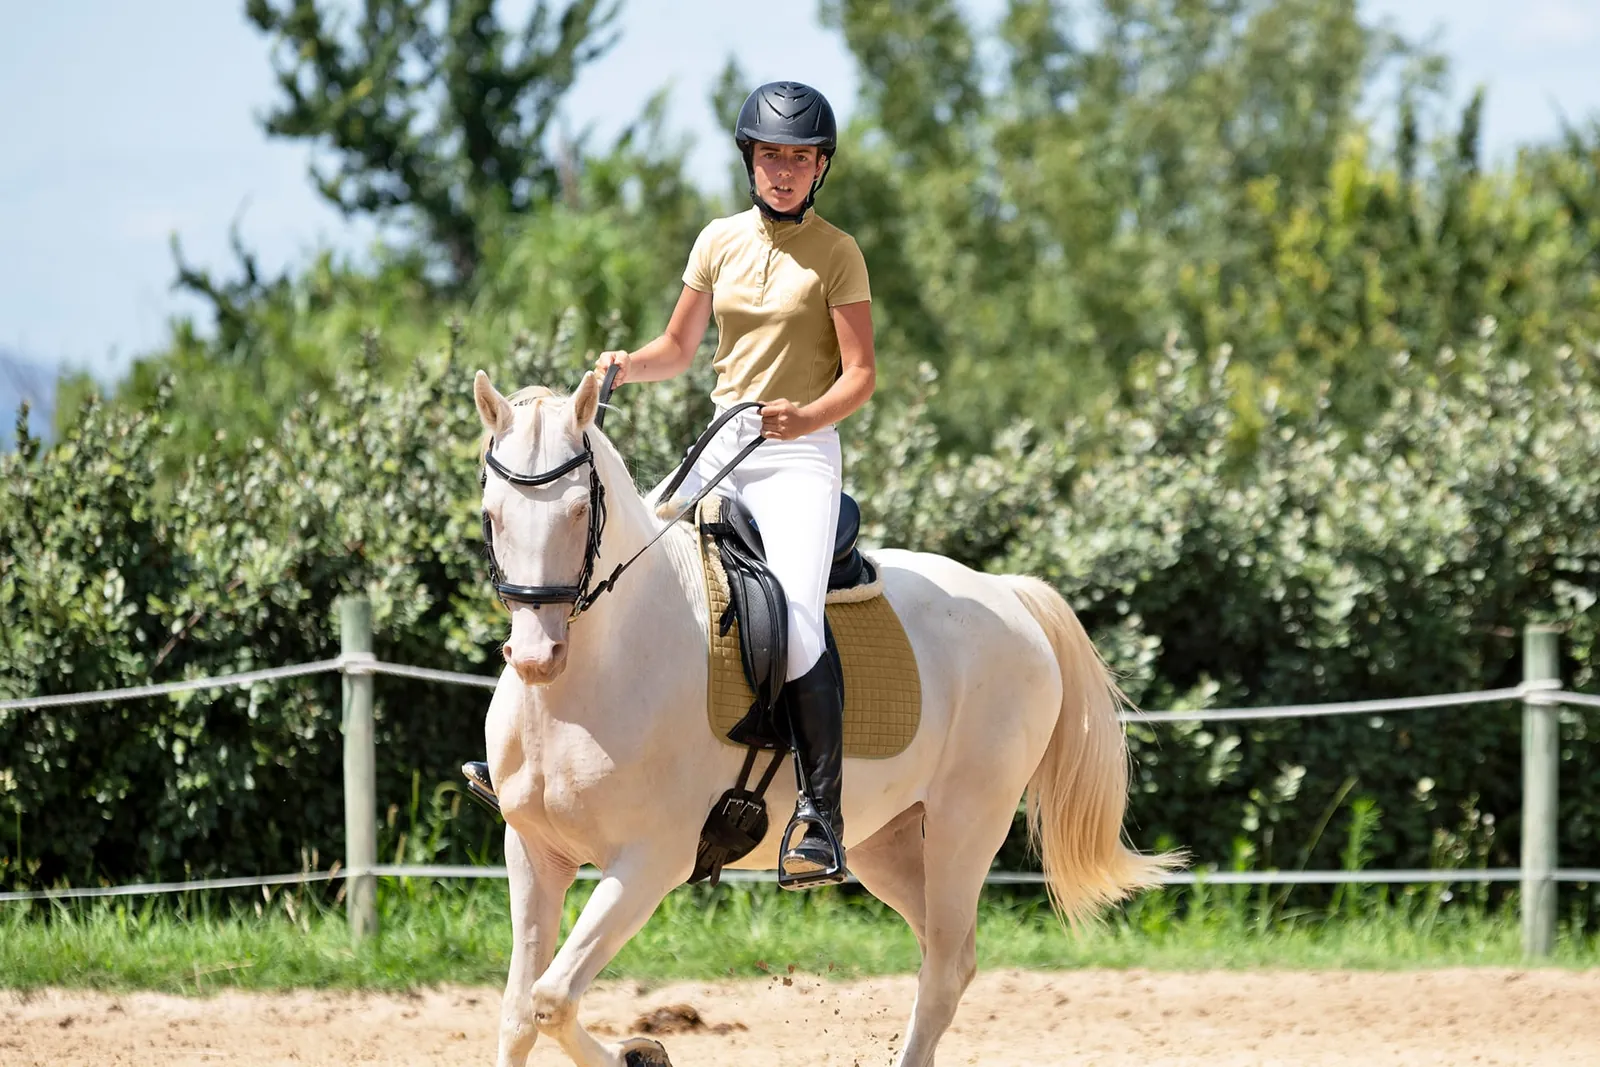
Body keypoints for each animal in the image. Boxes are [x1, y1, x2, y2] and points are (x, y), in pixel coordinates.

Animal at [473, 368, 1177, 1067]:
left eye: (578, 511)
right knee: (947, 953)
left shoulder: (649, 861)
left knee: (945, 970)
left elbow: (551, 999)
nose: (536, 657)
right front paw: (635, 1047)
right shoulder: (534, 852)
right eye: (493, 514)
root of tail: (1007, 592)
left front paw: (640, 1053)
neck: (595, 677)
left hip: (967, 826)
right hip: (887, 841)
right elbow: (518, 1014)